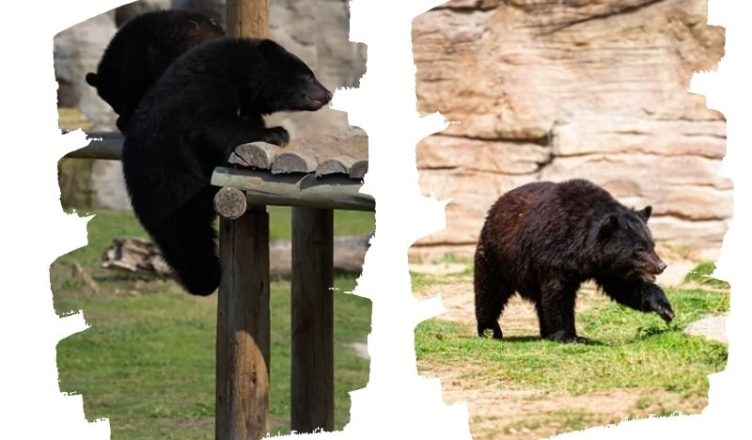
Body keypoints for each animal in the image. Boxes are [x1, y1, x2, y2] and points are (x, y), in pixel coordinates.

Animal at [123, 38, 332, 296]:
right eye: (309, 76)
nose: (327, 94)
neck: (239, 73)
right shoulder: (205, 89)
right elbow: (215, 125)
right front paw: (277, 132)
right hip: (172, 183)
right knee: (188, 234)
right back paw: (207, 279)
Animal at [472, 180, 672, 344]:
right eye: (639, 248)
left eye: (651, 244)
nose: (661, 266)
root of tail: (497, 204)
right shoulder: (553, 255)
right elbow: (559, 295)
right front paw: (570, 337)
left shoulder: (607, 268)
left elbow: (626, 288)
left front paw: (665, 309)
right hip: (497, 256)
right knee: (490, 291)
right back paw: (490, 329)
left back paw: (545, 332)